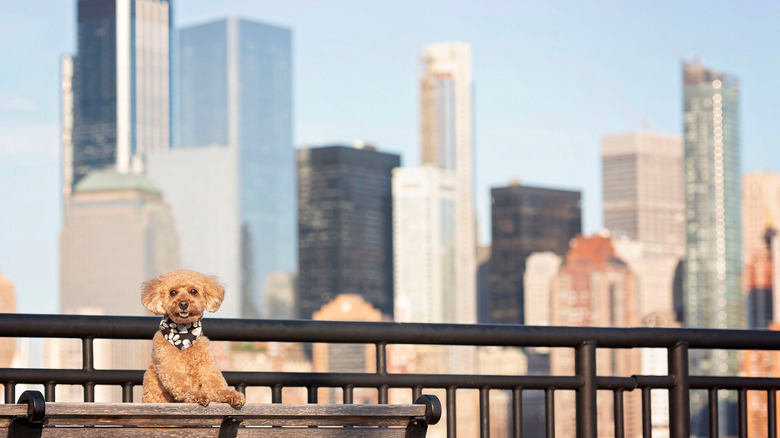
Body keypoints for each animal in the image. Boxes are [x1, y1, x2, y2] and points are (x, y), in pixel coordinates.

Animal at [140, 268, 244, 408]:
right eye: (173, 292)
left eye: (193, 291)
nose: (183, 303)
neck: (184, 335)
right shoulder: (170, 365)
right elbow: (181, 384)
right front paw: (196, 395)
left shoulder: (207, 365)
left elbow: (216, 384)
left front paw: (231, 395)